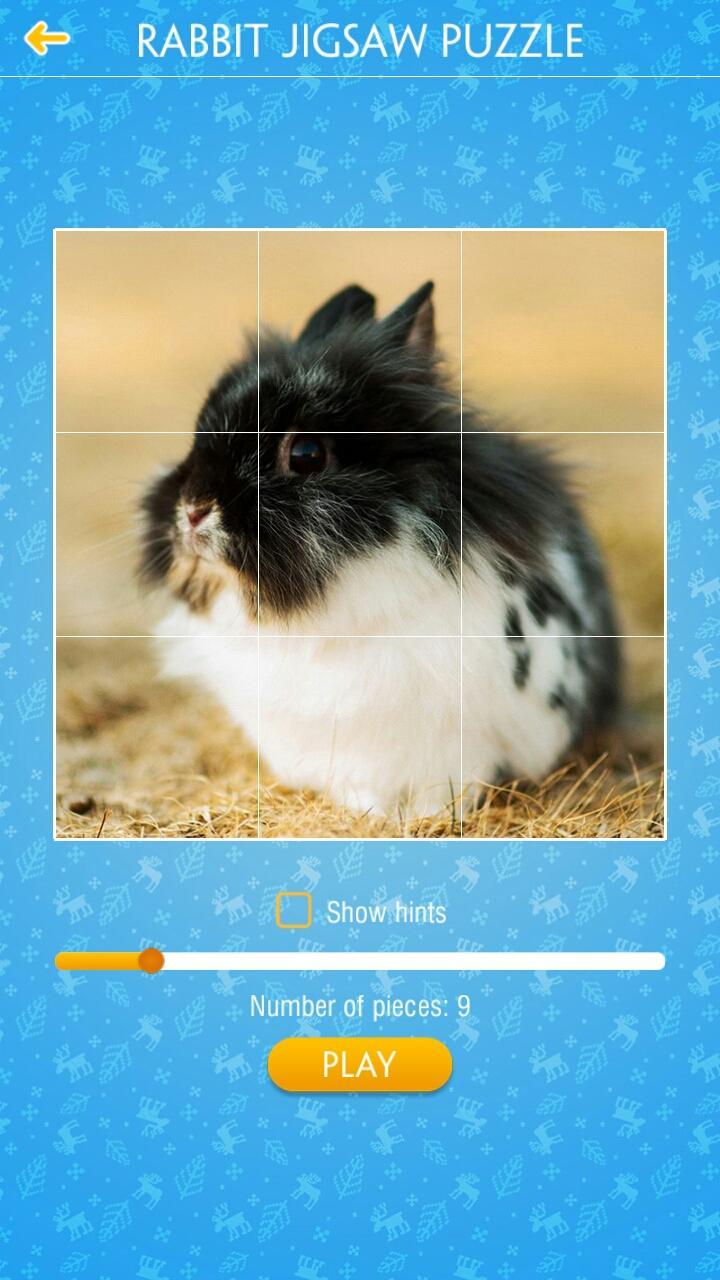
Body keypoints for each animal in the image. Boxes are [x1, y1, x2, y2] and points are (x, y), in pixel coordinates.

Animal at [140, 280, 620, 821]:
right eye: (197, 434)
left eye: (306, 454)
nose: (192, 509)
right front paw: (370, 814)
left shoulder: (462, 737)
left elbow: (449, 785)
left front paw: (428, 818)